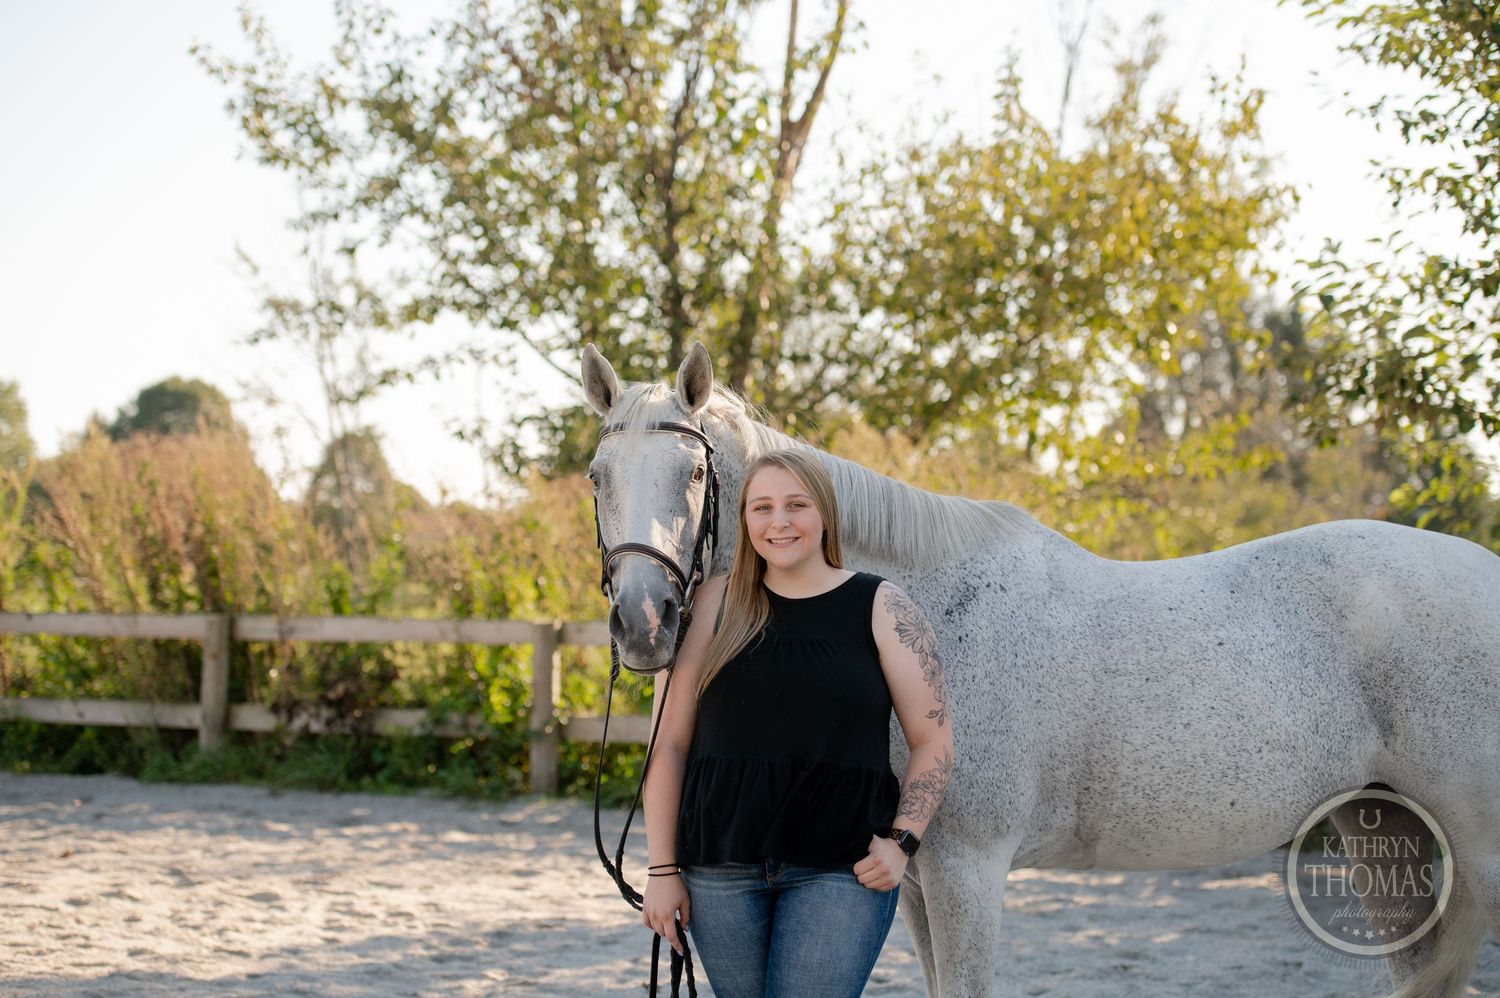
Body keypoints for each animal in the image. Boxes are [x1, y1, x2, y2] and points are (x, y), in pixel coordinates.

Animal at [582, 342, 1500, 997]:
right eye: (597, 476)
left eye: (694, 473)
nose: (643, 623)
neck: (926, 614)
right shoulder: (911, 881)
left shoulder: (967, 869)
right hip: (1386, 832)